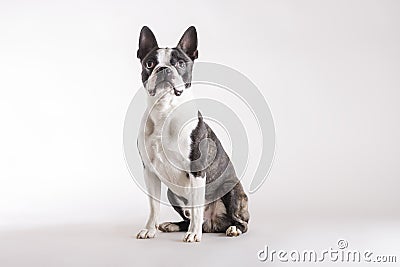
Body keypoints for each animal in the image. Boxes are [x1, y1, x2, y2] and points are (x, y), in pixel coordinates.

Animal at [135, 25, 247, 243]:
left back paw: (232, 228)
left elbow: (196, 208)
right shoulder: (149, 172)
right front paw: (149, 229)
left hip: (231, 188)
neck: (165, 110)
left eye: (180, 63)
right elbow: (153, 206)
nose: (163, 69)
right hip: (171, 194)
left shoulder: (197, 170)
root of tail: (214, 223)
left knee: (240, 222)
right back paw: (174, 225)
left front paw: (194, 234)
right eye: (150, 63)